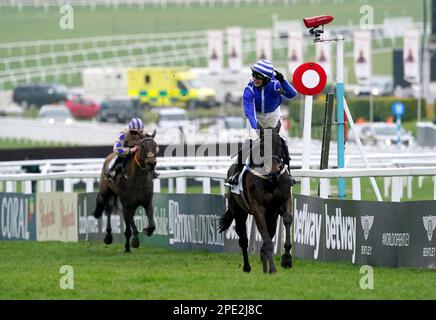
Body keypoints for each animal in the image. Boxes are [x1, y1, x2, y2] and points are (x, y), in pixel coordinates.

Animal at [218, 122, 292, 272]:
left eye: (279, 145)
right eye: (263, 146)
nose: (274, 172)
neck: (270, 181)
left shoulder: (284, 201)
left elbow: (287, 220)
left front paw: (287, 259)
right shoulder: (258, 208)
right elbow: (265, 238)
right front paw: (273, 269)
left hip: (272, 215)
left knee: (269, 233)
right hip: (238, 211)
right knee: (243, 239)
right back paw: (247, 266)